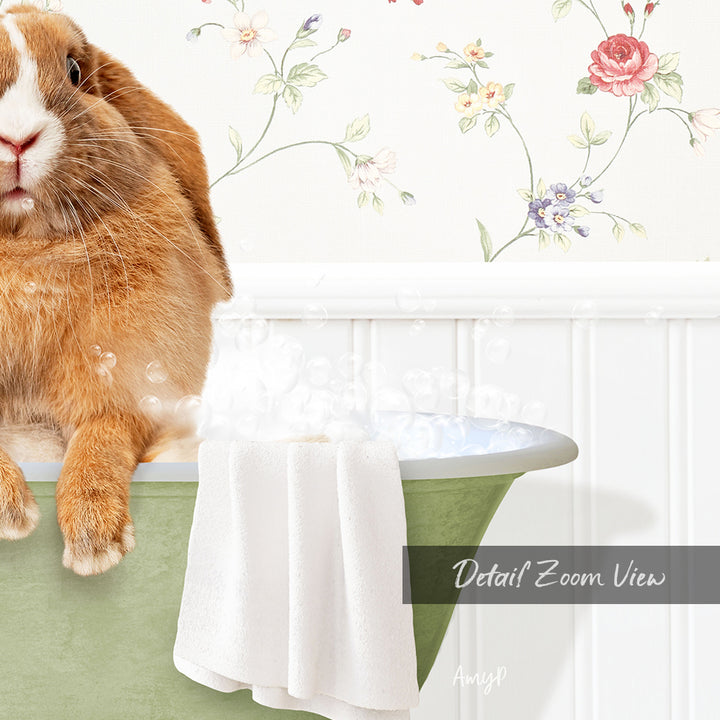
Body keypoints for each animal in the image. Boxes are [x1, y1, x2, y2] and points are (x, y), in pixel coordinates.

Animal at [0, 5, 232, 575]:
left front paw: (94, 539)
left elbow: (102, 435)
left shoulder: (127, 388)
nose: (18, 139)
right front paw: (14, 513)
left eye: (74, 71)